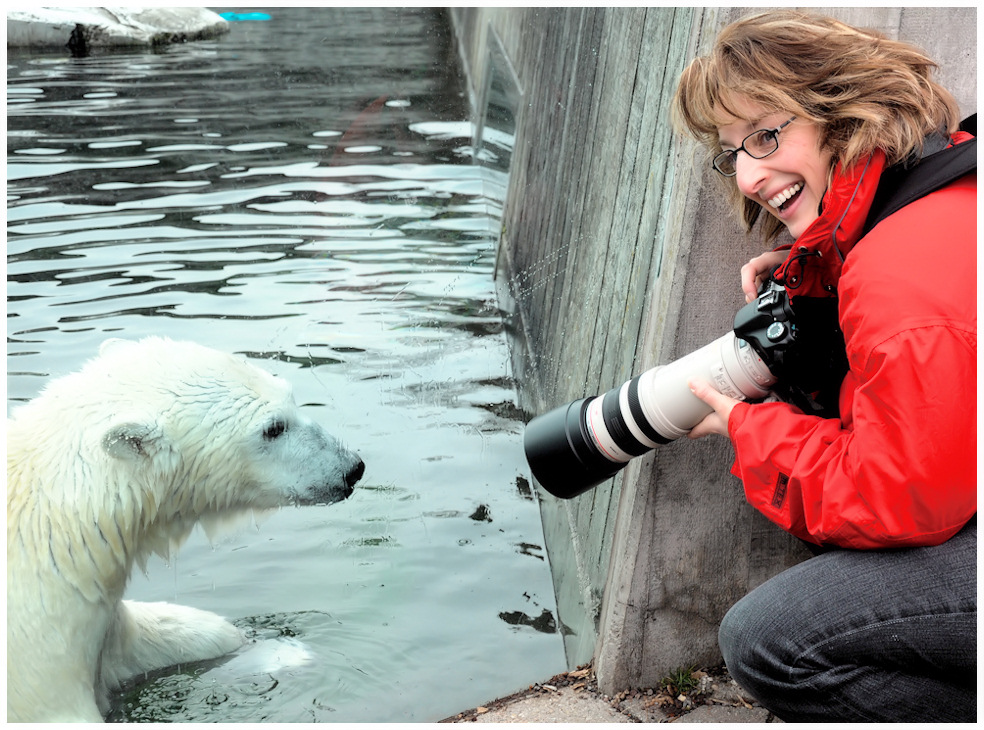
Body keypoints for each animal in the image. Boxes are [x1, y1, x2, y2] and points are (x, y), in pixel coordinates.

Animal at [4, 336, 366, 724]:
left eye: (291, 397)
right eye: (273, 428)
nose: (352, 468)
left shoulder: (103, 629)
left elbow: (174, 634)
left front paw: (278, 650)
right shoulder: (37, 663)